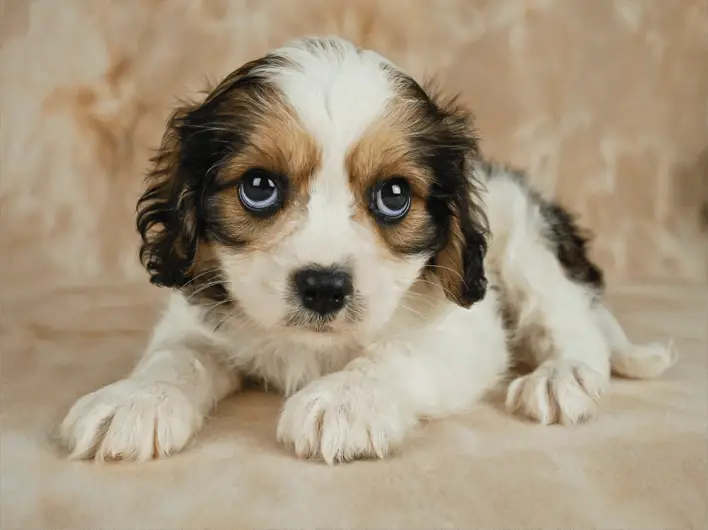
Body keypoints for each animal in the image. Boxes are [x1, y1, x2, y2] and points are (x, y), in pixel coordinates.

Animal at [55, 36, 676, 462]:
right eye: (259, 187)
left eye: (394, 196)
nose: (324, 287)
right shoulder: (198, 317)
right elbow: (175, 355)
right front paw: (135, 398)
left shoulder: (465, 333)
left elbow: (394, 354)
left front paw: (345, 399)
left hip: (528, 240)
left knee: (573, 323)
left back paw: (563, 376)